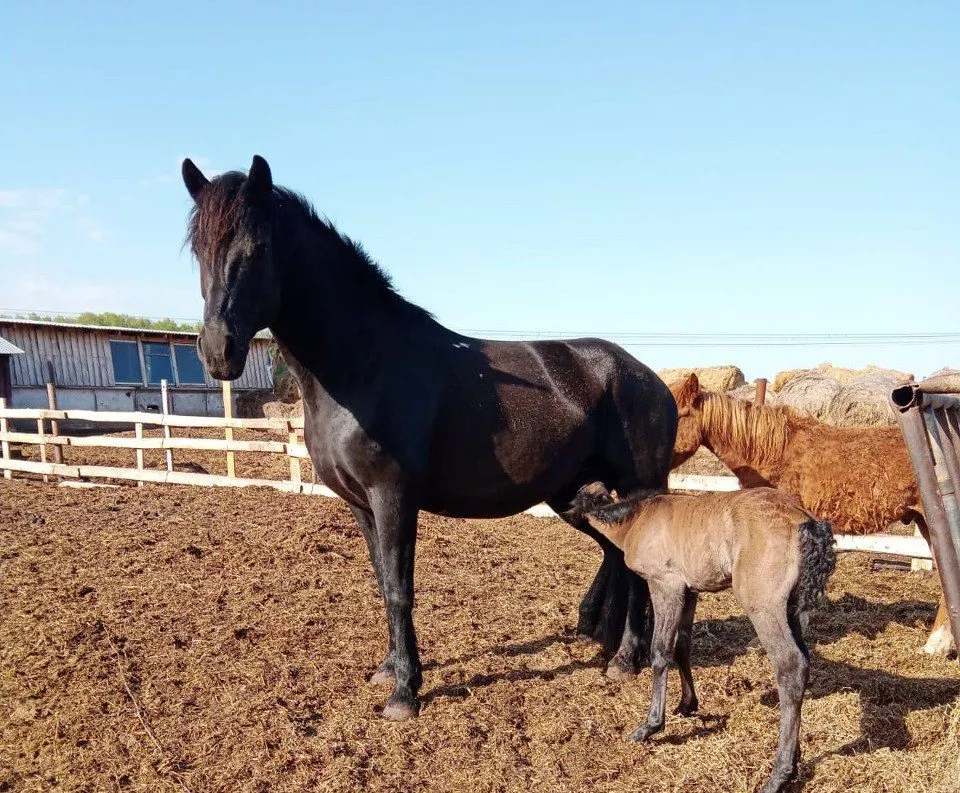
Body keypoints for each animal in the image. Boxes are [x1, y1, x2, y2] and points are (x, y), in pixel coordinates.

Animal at [568, 482, 832, 792]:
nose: (570, 515)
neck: (638, 517)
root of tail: (806, 521)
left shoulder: (665, 584)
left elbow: (660, 652)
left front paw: (650, 726)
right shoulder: (690, 591)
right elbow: (682, 645)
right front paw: (687, 704)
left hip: (763, 606)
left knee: (791, 666)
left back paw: (779, 775)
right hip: (791, 608)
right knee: (803, 663)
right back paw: (796, 756)